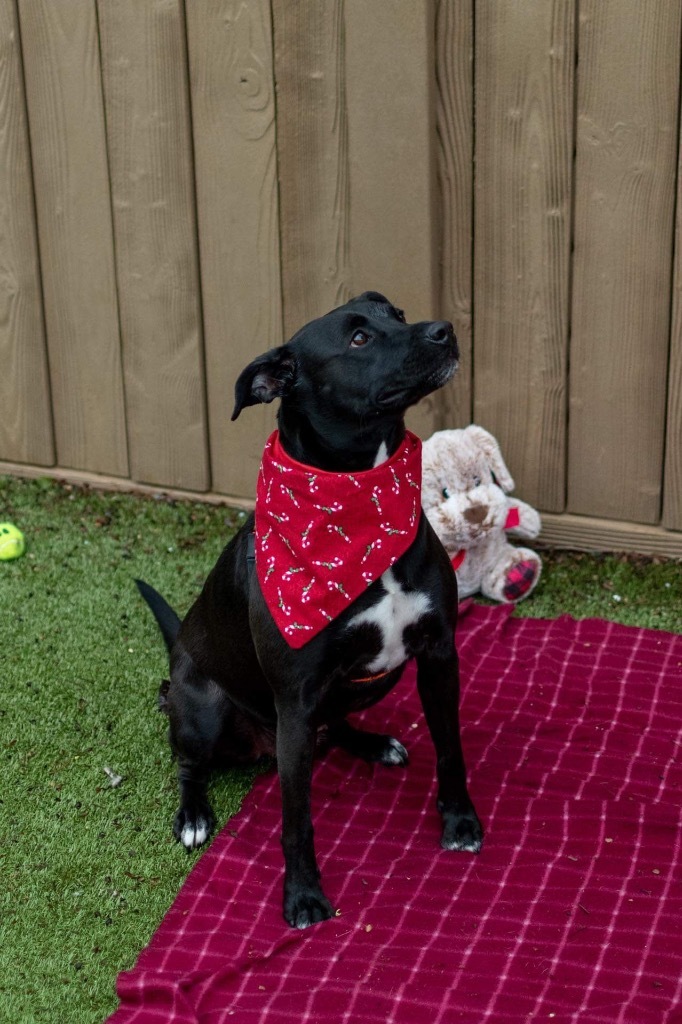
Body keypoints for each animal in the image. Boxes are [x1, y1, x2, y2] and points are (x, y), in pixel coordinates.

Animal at [135, 290, 481, 929]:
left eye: (397, 314)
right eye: (358, 339)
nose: (444, 329)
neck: (358, 505)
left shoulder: (439, 656)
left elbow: (451, 749)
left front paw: (461, 821)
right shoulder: (294, 700)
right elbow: (296, 819)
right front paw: (301, 896)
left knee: (336, 722)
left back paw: (372, 744)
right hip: (205, 708)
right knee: (189, 762)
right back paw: (193, 815)